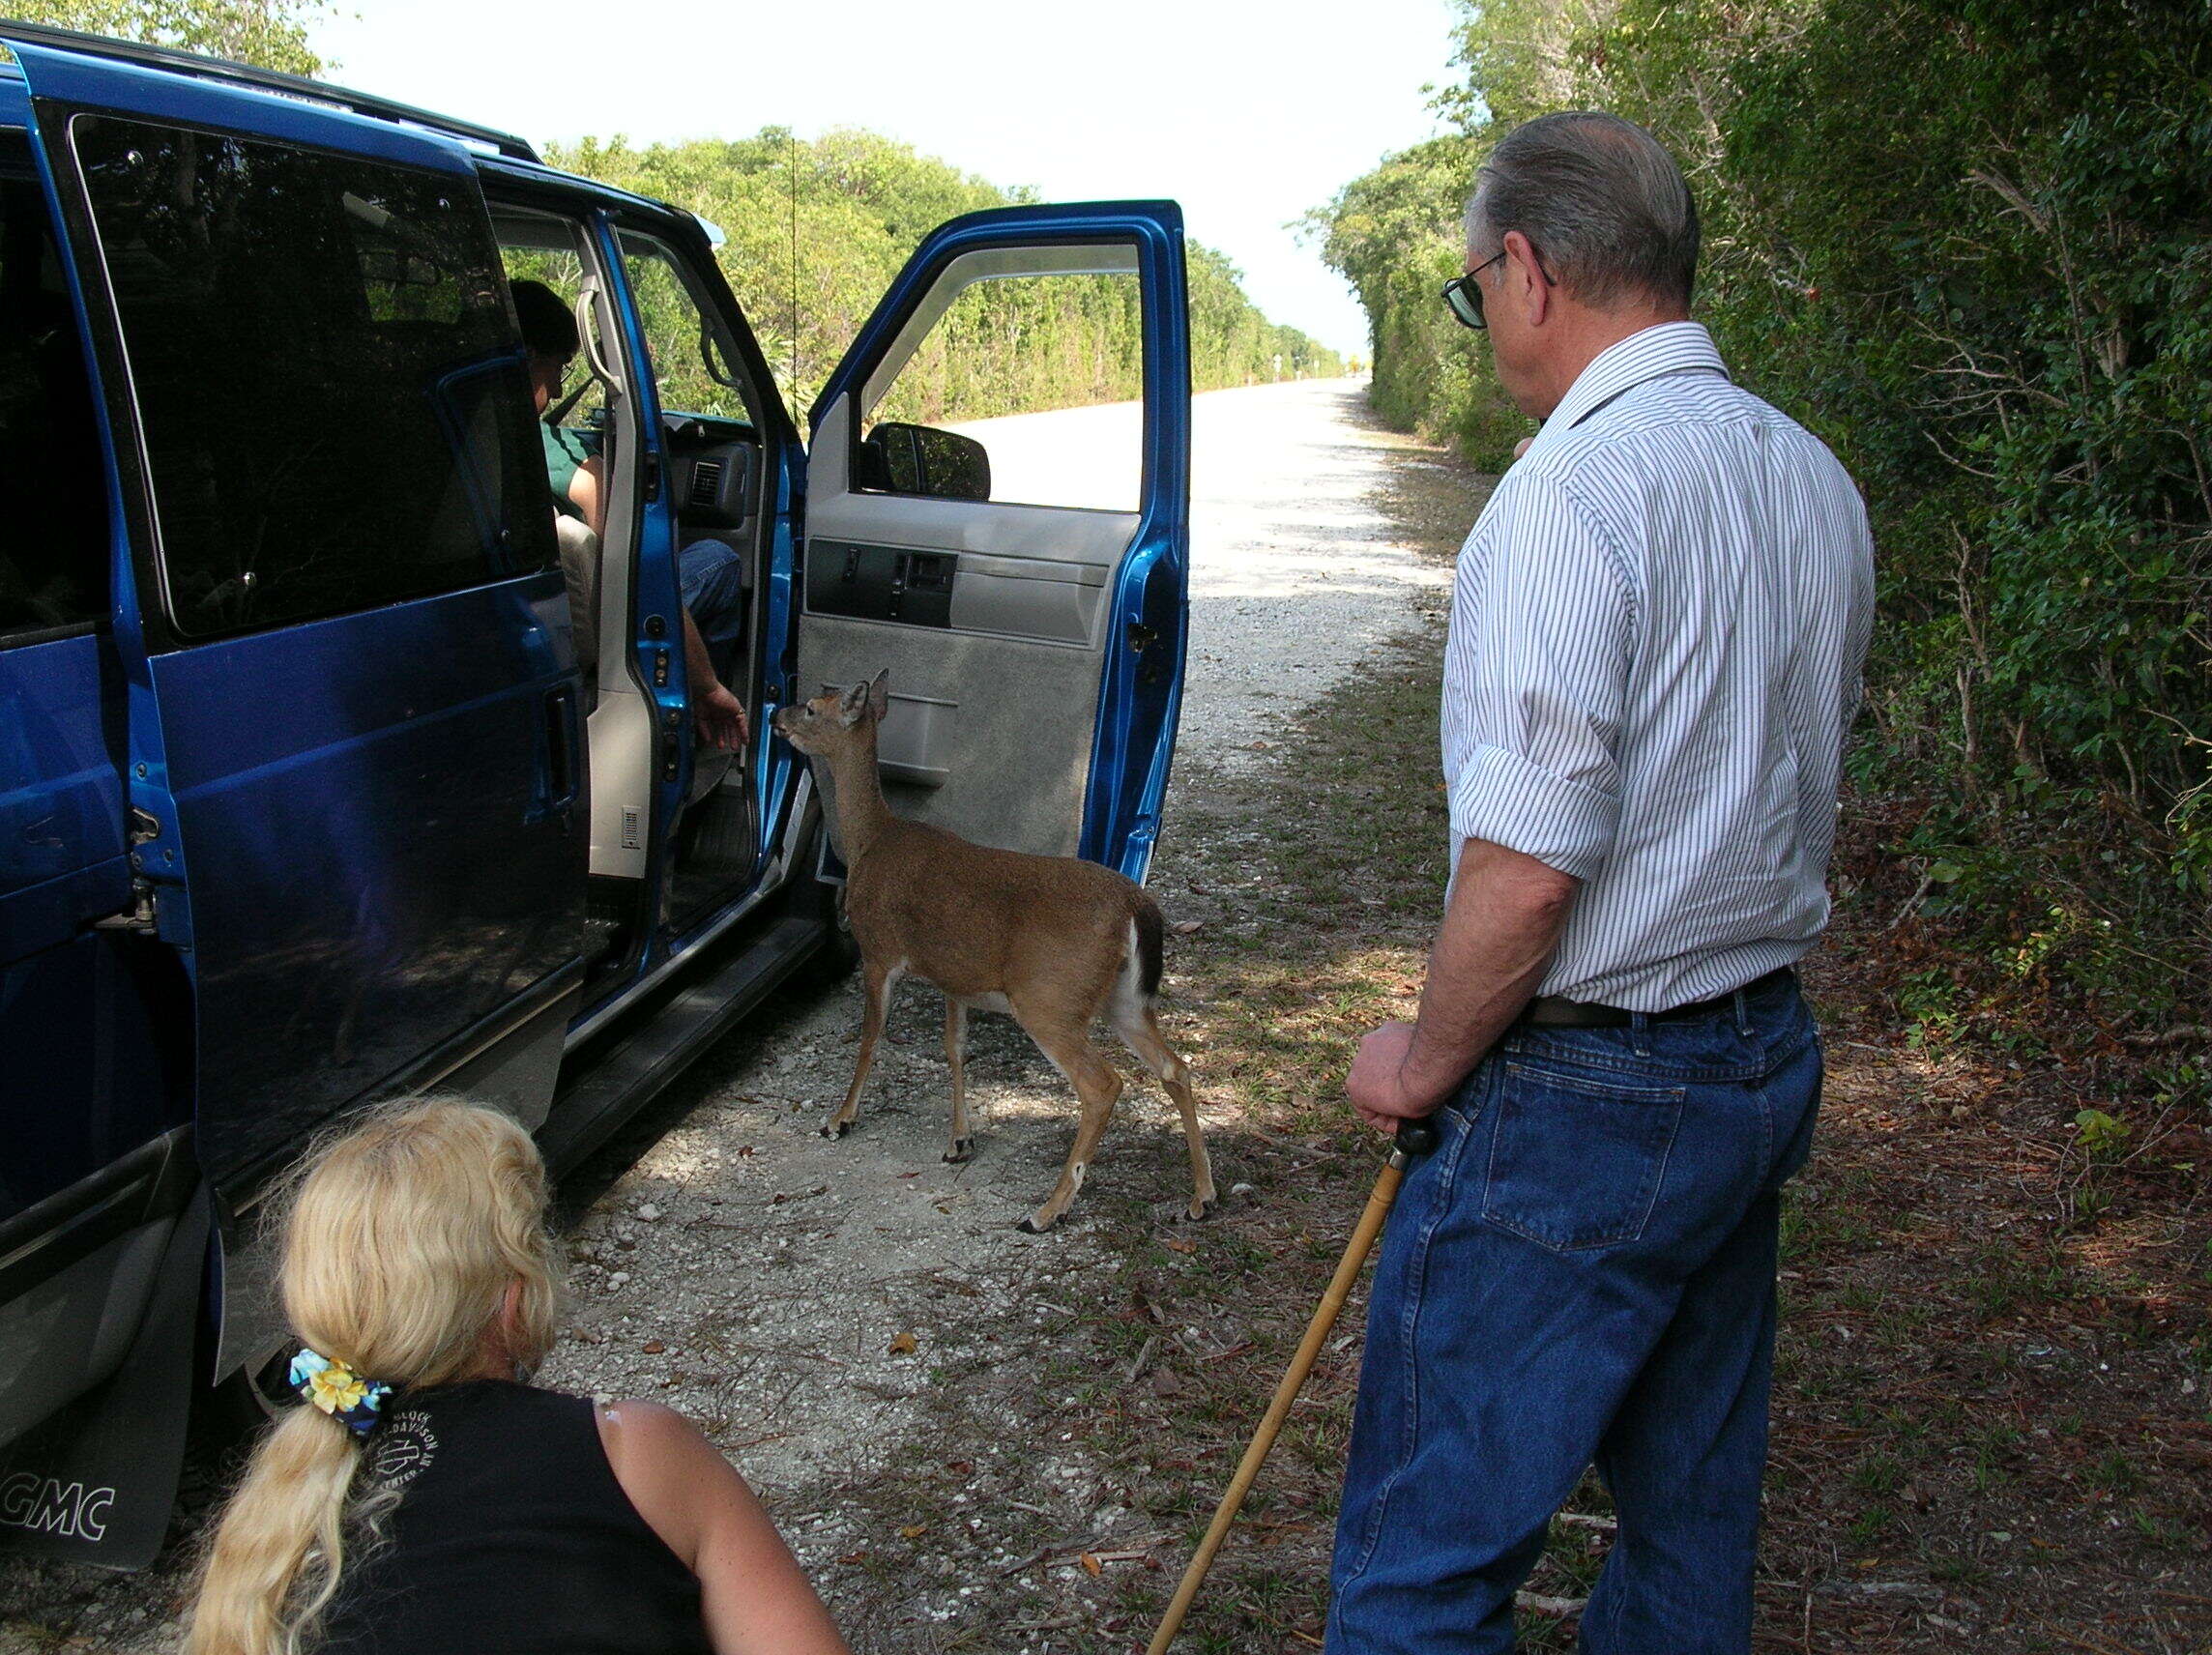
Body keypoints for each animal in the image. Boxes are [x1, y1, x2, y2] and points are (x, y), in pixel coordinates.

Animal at [770, 663, 1220, 1238]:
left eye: (811, 707)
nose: (776, 715)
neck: (872, 840)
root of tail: (1135, 905)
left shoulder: (879, 950)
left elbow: (870, 1038)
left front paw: (839, 1119)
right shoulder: (954, 976)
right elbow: (955, 1048)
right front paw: (959, 1141)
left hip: (1050, 996)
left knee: (1102, 1084)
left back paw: (1047, 1211)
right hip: (1124, 998)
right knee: (1176, 1068)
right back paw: (1202, 1196)